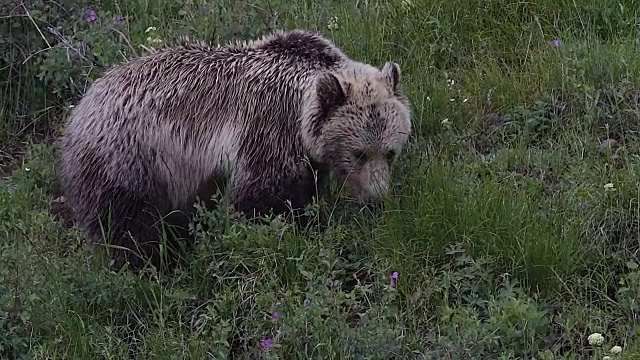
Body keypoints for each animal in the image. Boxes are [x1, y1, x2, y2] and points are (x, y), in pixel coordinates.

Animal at [58, 28, 410, 270]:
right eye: (358, 153)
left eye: (390, 152)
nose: (377, 200)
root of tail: (81, 107)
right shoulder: (267, 127)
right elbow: (260, 198)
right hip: (128, 158)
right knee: (129, 225)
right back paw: (149, 265)